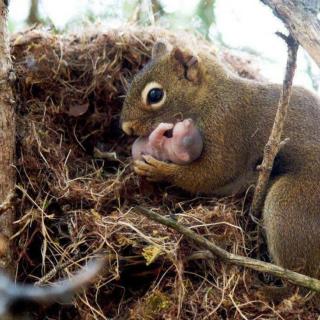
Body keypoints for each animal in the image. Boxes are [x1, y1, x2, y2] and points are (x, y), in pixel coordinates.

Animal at [120, 42, 320, 282]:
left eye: (155, 95)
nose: (126, 128)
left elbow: (213, 173)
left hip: (290, 206)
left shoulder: (226, 126)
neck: (210, 97)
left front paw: (159, 169)